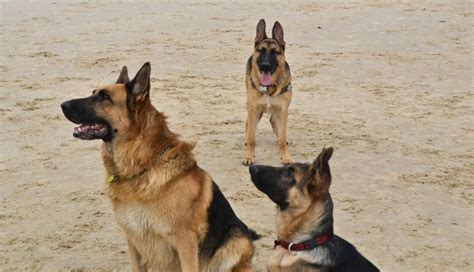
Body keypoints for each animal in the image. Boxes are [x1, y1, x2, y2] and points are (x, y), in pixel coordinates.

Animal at [61, 62, 260, 270]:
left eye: (105, 97)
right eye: (94, 92)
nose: (63, 105)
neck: (141, 166)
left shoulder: (185, 243)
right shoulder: (133, 241)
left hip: (235, 242)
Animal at [244, 19, 292, 166]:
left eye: (275, 52)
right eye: (261, 50)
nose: (265, 66)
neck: (269, 87)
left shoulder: (283, 112)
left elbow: (282, 139)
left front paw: (285, 156)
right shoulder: (253, 110)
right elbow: (252, 138)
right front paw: (249, 156)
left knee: (273, 122)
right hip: (253, 110)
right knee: (248, 125)